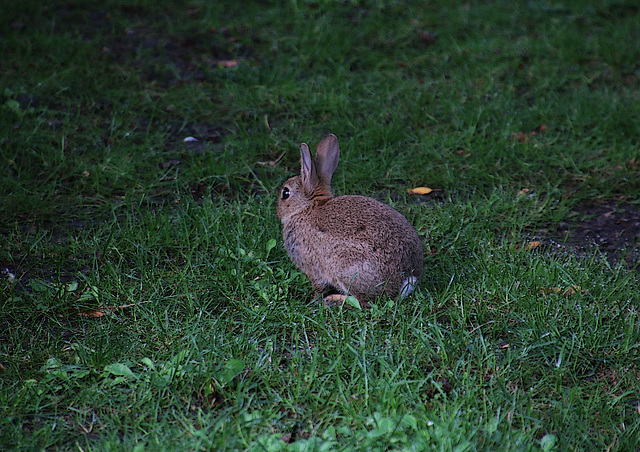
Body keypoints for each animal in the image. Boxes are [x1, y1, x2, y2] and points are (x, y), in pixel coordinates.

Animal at [276, 133, 422, 308]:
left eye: (285, 193)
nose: (277, 212)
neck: (306, 208)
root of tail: (405, 280)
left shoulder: (312, 268)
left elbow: (318, 288)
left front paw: (313, 300)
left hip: (346, 267)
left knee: (364, 302)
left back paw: (334, 299)